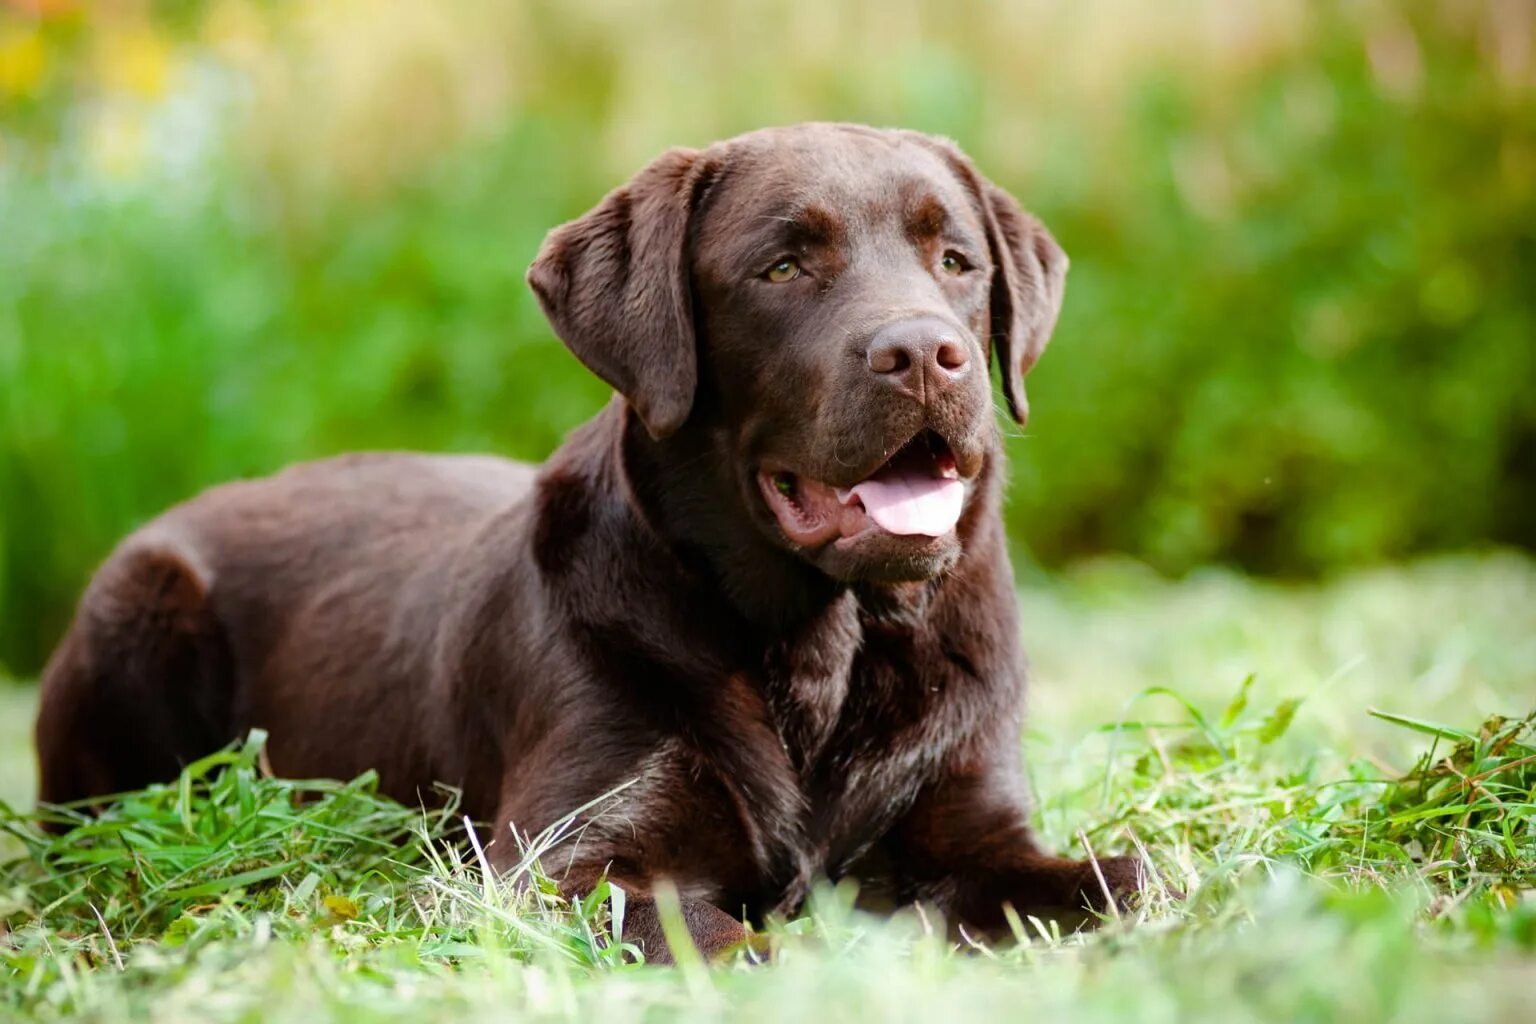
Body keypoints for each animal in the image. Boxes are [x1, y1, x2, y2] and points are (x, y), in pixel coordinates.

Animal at [33, 122, 1142, 964]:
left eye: (956, 261)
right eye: (782, 266)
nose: (925, 353)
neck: (823, 648)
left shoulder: (978, 821)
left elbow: (1131, 877)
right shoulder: (565, 864)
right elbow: (740, 942)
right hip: (136, 606)